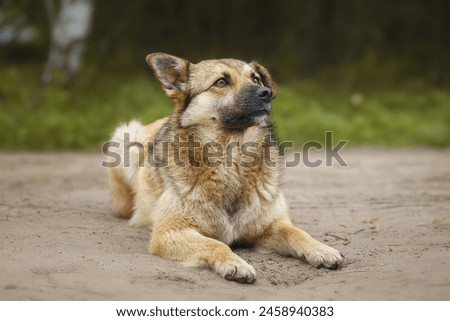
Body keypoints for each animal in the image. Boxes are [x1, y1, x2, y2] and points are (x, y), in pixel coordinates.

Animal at [107, 52, 342, 282]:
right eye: (221, 82)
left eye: (255, 78)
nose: (265, 93)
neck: (232, 160)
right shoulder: (170, 232)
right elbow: (216, 243)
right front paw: (235, 263)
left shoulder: (272, 225)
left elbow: (297, 232)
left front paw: (321, 249)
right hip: (126, 138)